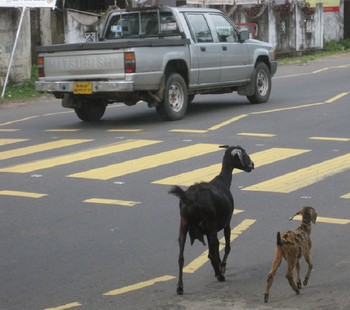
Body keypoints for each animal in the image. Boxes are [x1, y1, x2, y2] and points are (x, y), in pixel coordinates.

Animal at [168, 144, 253, 294]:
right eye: (244, 153)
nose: (252, 165)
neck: (223, 181)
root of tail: (190, 199)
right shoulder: (226, 222)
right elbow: (226, 247)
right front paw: (222, 266)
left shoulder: (208, 230)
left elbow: (216, 247)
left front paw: (219, 266)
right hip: (210, 224)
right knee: (211, 253)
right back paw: (220, 276)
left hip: (184, 224)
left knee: (181, 256)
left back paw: (180, 287)